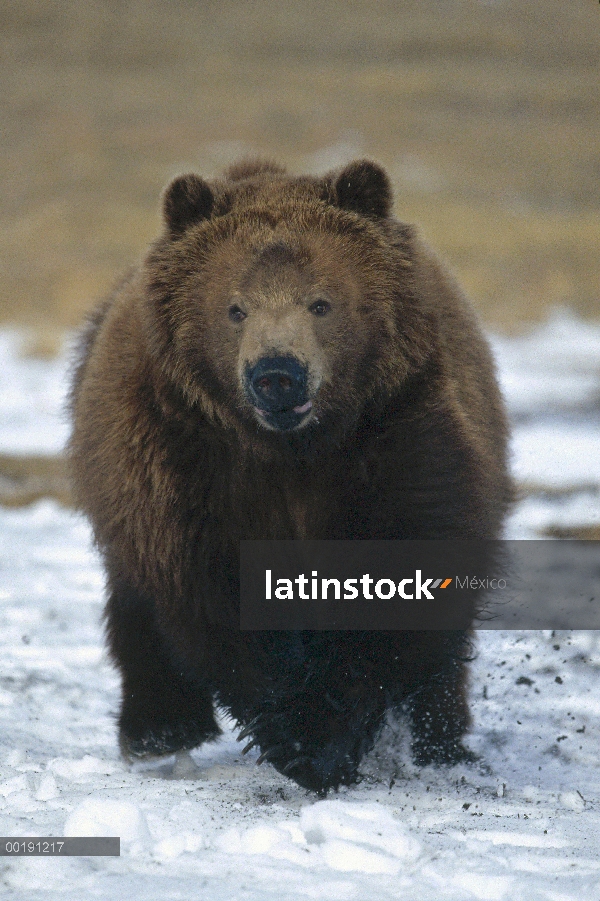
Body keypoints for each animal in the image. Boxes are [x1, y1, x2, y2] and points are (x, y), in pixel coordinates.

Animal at [70, 158, 510, 792]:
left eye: (320, 303)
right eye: (235, 308)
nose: (277, 374)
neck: (291, 451)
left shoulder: (396, 438)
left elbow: (399, 574)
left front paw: (322, 735)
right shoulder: (186, 463)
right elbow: (216, 591)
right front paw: (297, 736)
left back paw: (443, 745)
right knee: (138, 603)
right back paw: (158, 730)